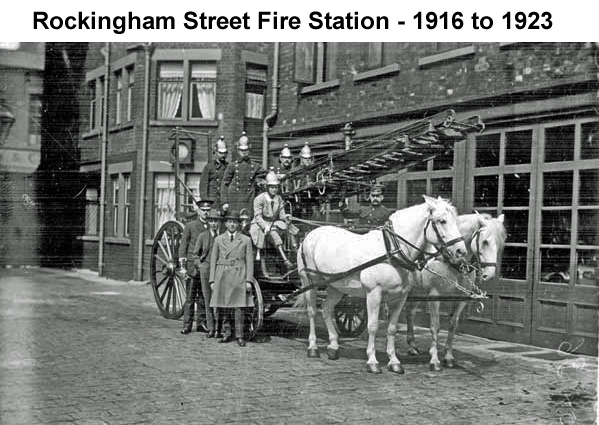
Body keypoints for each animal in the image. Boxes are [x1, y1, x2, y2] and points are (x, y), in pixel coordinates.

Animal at [298, 194, 472, 372]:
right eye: (442, 221)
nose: (461, 251)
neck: (392, 250)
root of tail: (312, 234)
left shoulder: (400, 297)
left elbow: (392, 328)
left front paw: (394, 361)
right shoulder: (374, 293)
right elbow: (373, 326)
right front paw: (372, 361)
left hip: (336, 286)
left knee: (326, 309)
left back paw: (333, 346)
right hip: (309, 281)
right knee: (312, 311)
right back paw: (313, 347)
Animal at [408, 214, 506, 370]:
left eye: (501, 244)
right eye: (485, 242)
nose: (489, 274)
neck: (451, 261)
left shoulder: (462, 298)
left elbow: (453, 324)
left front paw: (448, 357)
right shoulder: (434, 296)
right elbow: (435, 326)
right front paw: (434, 359)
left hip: (418, 291)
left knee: (410, 313)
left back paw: (412, 346)